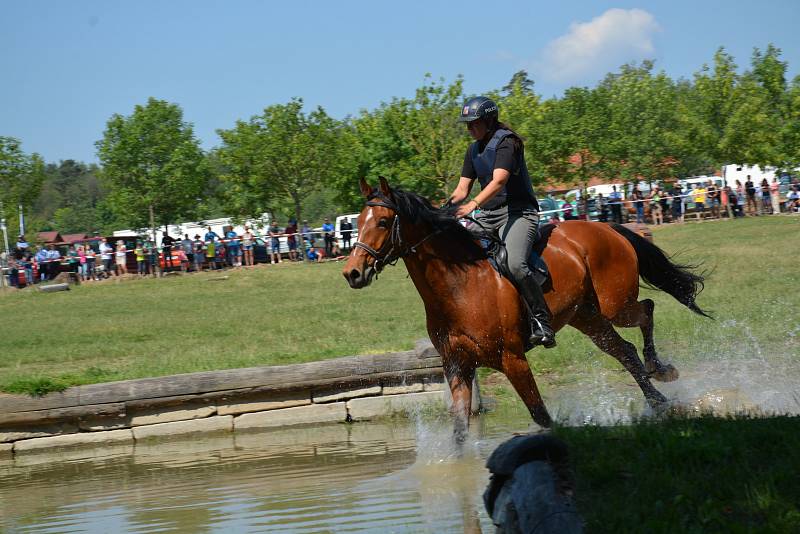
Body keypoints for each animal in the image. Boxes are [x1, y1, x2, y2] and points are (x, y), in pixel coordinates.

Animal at [342, 178, 708, 442]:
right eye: (356, 222)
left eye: (384, 222)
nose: (352, 273)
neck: (459, 287)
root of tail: (605, 227)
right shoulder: (457, 364)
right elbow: (460, 429)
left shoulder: (512, 359)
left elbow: (541, 415)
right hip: (587, 317)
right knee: (625, 351)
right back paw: (657, 400)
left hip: (615, 305)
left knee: (646, 310)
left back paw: (660, 368)